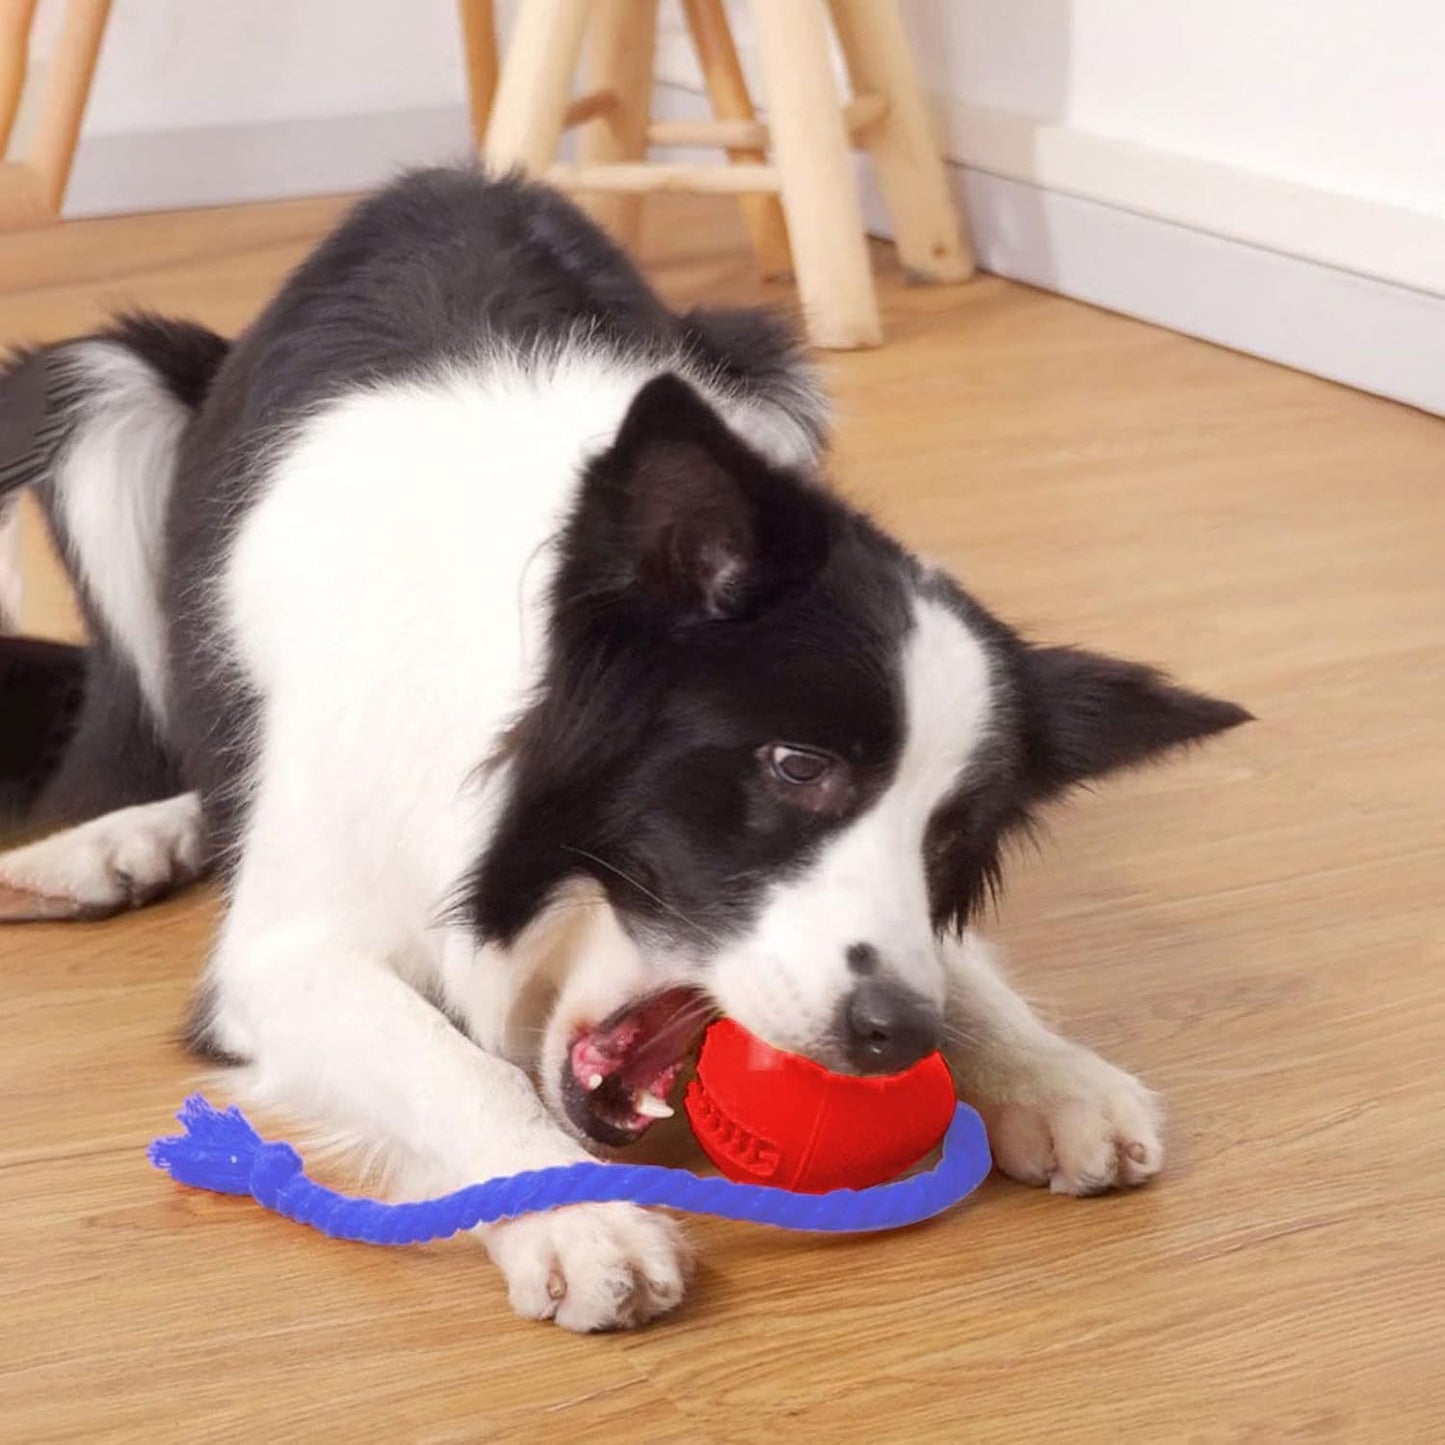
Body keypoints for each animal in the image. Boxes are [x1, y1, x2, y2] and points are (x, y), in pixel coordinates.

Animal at [0, 169, 1242, 1329]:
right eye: (796, 766)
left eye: (950, 835)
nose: (894, 1037)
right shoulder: (284, 950)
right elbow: (453, 1064)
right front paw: (579, 1215)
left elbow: (961, 964)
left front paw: (1049, 1068)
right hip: (99, 396)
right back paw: (108, 845)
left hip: (765, 362)